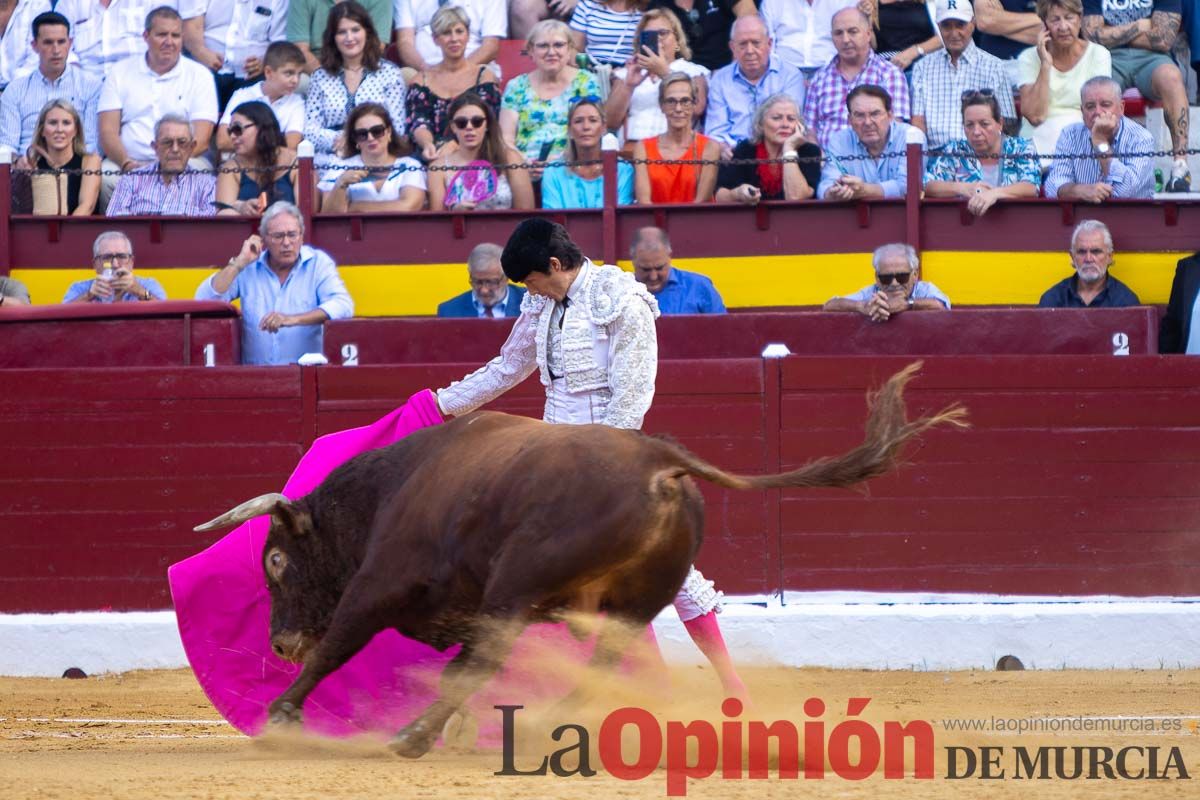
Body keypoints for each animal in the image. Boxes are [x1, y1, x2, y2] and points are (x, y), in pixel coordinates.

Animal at [196, 367, 964, 762]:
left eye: (275, 559)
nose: (278, 643)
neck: (390, 490)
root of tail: (663, 464)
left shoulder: (378, 586)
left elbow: (340, 646)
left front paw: (281, 718)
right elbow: (452, 666)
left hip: (519, 584)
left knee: (510, 655)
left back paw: (413, 737)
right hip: (622, 598)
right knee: (605, 657)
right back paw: (538, 726)